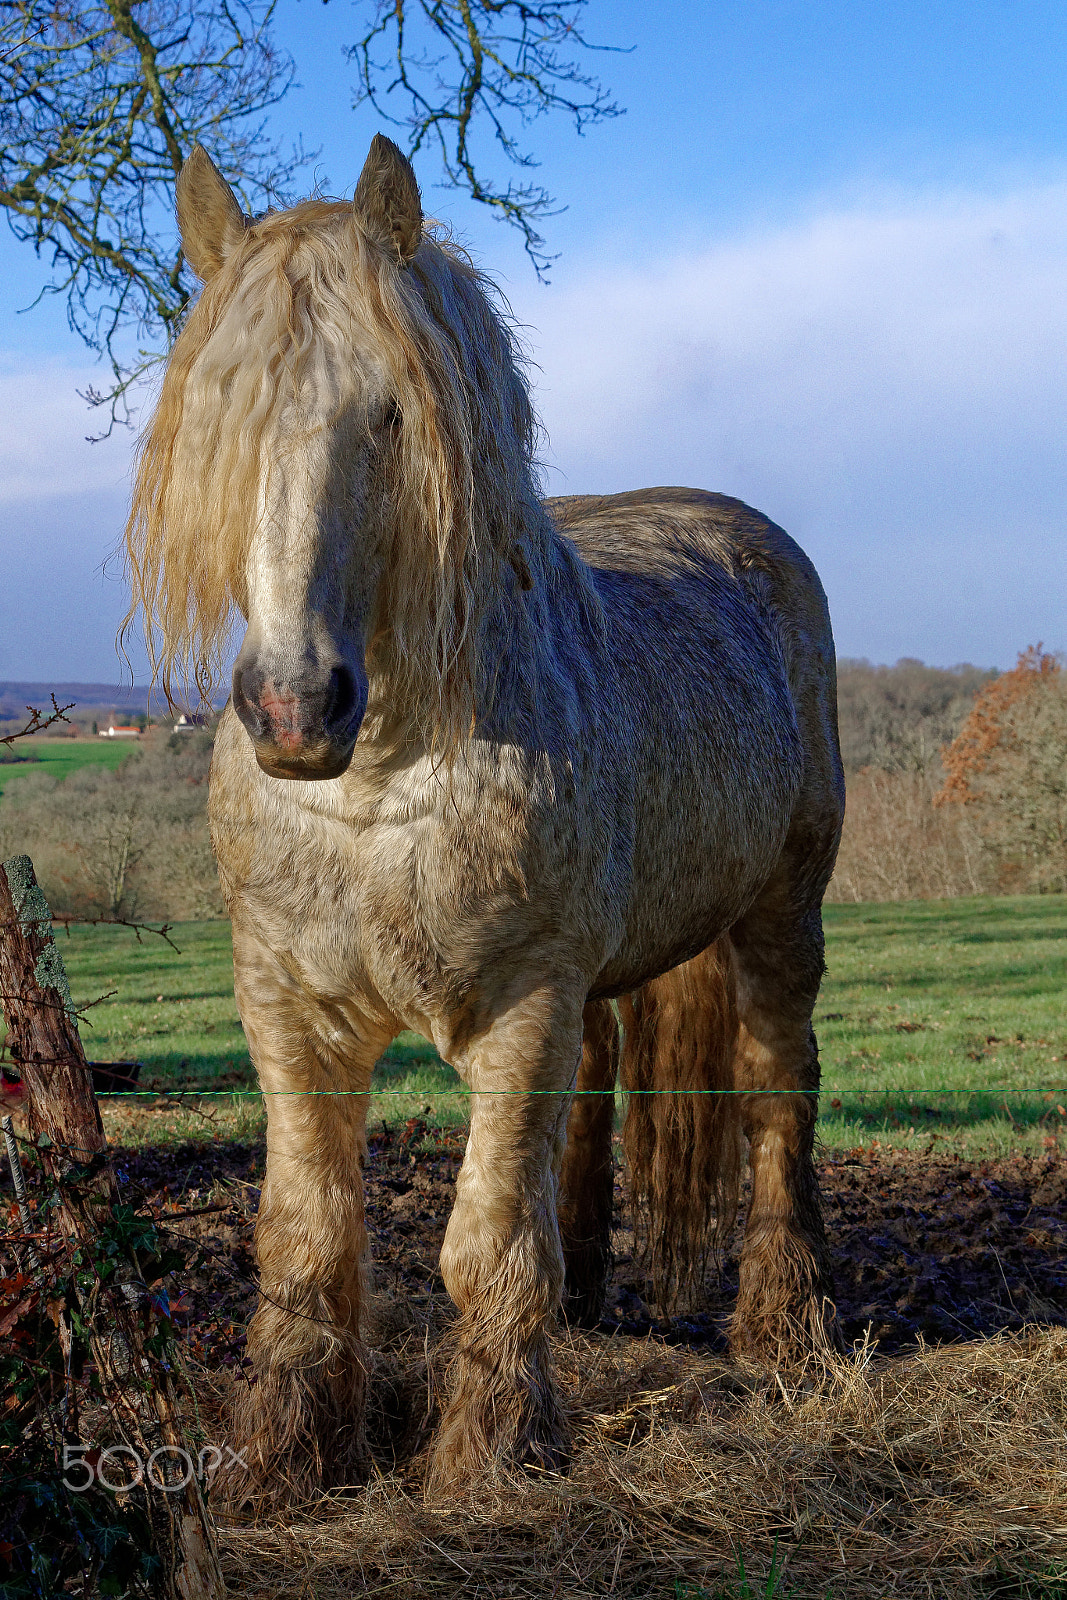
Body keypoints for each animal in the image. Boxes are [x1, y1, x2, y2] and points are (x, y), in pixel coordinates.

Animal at [125, 134, 845, 1505]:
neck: (375, 795)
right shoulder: (285, 1011)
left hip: (779, 916)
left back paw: (786, 1324)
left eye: (392, 415)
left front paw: (487, 1451)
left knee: (778, 1087)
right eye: (219, 423)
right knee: (603, 1092)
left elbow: (486, 1236)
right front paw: (282, 1454)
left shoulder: (520, 1005)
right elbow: (309, 1235)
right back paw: (593, 1299)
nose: (295, 707)